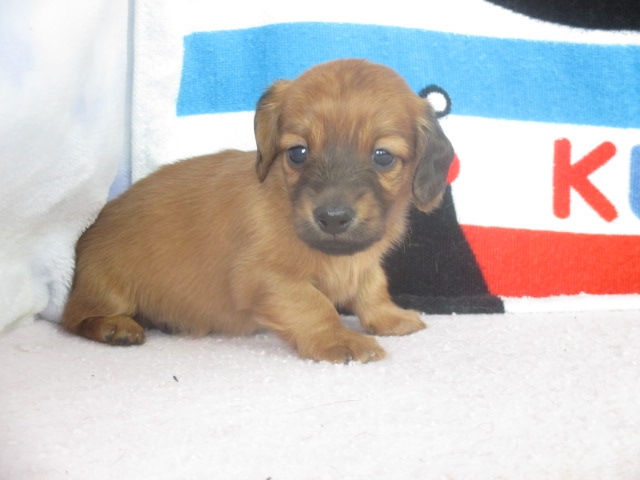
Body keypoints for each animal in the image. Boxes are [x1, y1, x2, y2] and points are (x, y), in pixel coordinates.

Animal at [62, 59, 454, 363]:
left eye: (382, 156)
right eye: (298, 153)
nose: (332, 218)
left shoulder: (365, 264)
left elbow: (372, 287)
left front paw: (389, 317)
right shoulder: (265, 277)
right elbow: (314, 304)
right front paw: (339, 339)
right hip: (105, 288)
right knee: (74, 317)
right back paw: (115, 326)